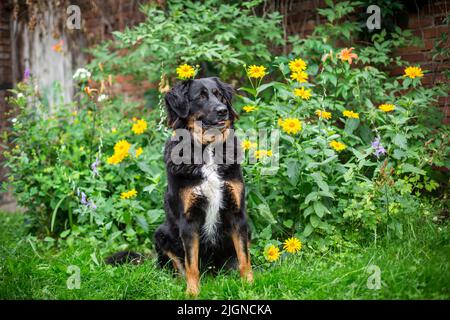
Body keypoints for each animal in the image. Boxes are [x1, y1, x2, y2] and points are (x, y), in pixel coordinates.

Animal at [154, 77, 253, 296]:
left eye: (219, 95)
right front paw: (192, 292)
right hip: (161, 233)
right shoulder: (188, 220)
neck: (207, 150)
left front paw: (249, 285)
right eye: (200, 96)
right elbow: (191, 264)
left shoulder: (237, 213)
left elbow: (244, 257)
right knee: (177, 267)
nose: (223, 110)